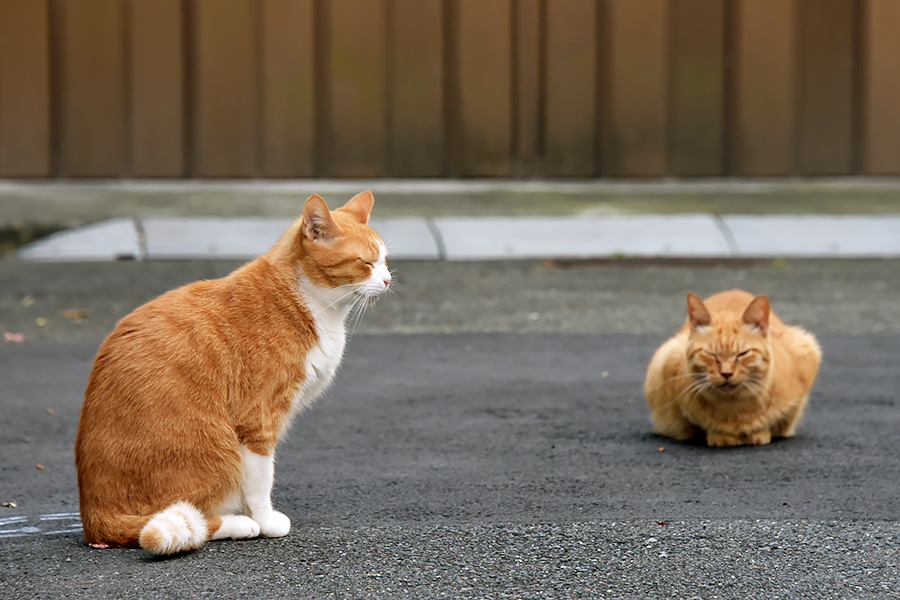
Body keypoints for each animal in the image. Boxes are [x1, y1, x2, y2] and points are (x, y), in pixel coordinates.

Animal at [74, 191, 390, 552]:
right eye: (366, 263)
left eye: (385, 261)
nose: (388, 280)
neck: (311, 304)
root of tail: (93, 519)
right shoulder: (258, 419)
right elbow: (260, 480)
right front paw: (265, 521)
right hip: (215, 447)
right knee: (181, 520)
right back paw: (239, 523)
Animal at [640, 288, 824, 448]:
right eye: (712, 355)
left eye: (742, 354)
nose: (726, 373)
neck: (734, 410)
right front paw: (719, 435)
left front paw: (758, 433)